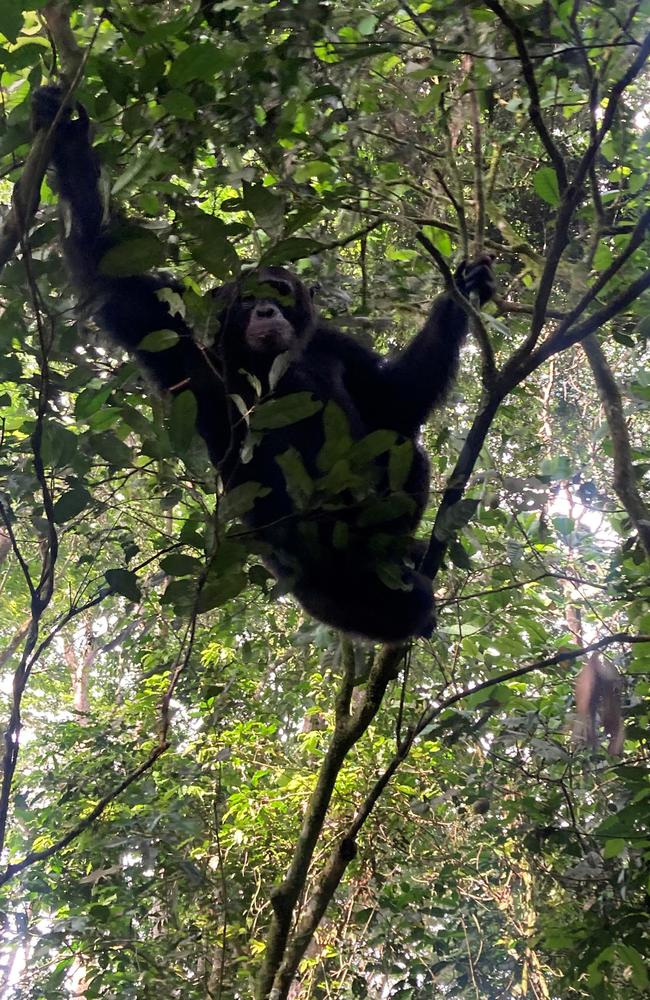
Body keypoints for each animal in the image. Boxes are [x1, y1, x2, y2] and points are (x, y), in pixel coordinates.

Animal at [33, 90, 494, 644]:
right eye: (249, 298)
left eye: (279, 293)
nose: (267, 311)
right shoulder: (179, 332)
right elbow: (111, 265)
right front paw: (66, 135)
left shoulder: (336, 344)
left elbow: (392, 404)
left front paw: (459, 294)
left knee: (402, 449)